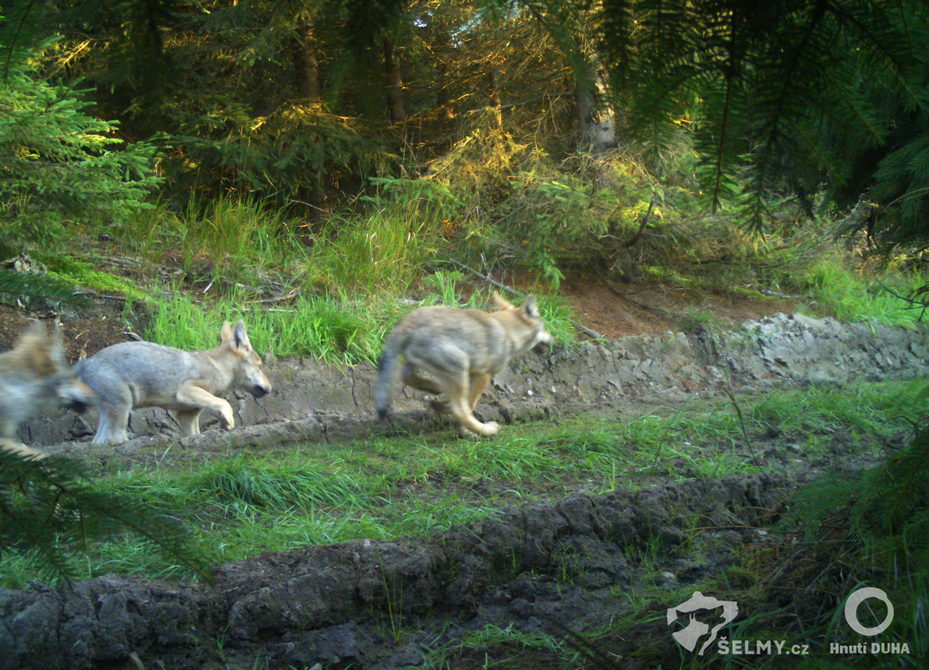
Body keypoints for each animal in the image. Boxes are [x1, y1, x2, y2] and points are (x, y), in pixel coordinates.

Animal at [74, 322, 270, 446]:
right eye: (260, 366)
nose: (270, 388)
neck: (219, 368)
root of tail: (83, 364)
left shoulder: (187, 414)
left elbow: (194, 434)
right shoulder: (186, 391)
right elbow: (225, 403)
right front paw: (227, 421)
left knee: (98, 443)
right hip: (123, 406)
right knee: (115, 439)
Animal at [374, 292, 556, 438]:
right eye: (545, 328)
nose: (554, 339)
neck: (507, 332)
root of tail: (405, 323)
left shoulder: (473, 375)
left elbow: (463, 403)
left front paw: (443, 408)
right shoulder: (483, 375)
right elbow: (470, 405)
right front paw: (465, 432)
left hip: (421, 365)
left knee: (409, 378)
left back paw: (435, 390)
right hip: (459, 365)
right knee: (460, 410)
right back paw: (487, 430)